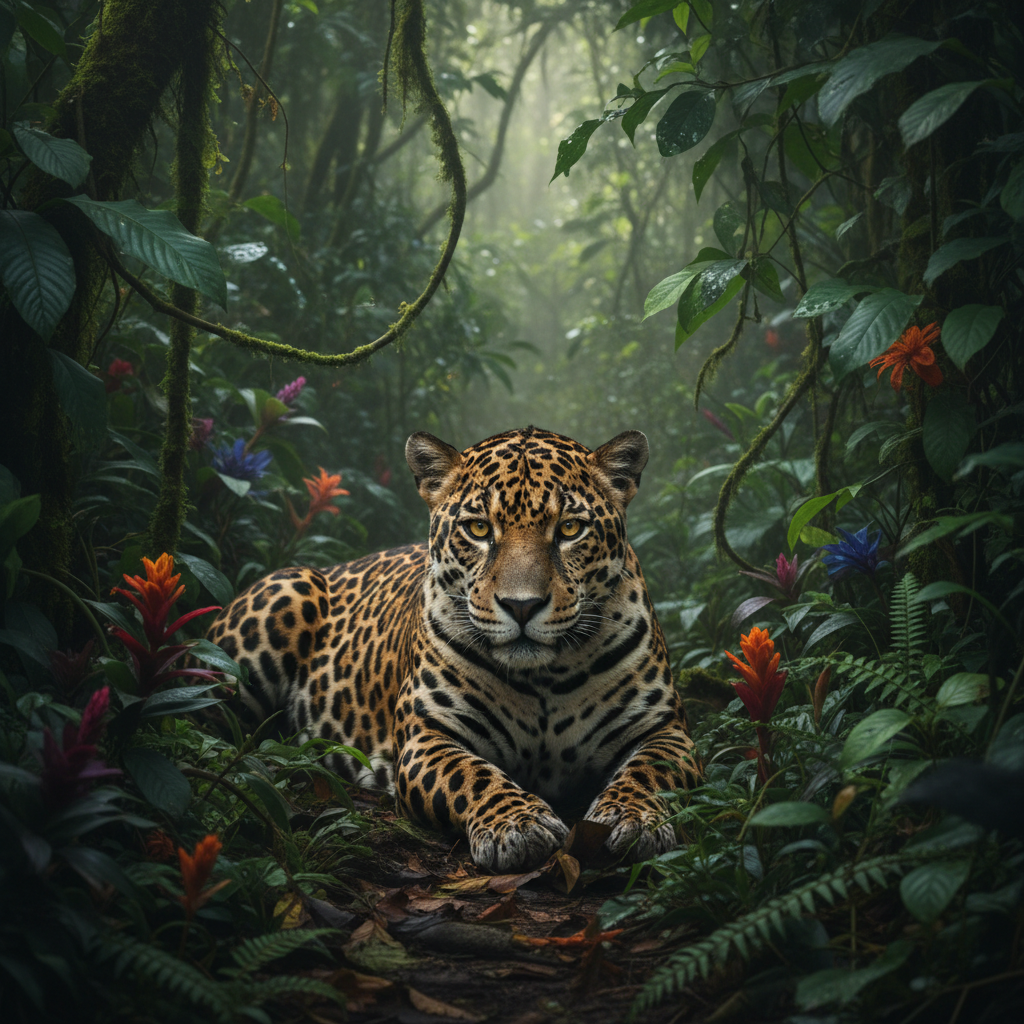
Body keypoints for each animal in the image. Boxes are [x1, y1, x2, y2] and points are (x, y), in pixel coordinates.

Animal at [206, 427, 701, 872]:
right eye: (479, 528)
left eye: (570, 529)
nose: (522, 606)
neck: (544, 677)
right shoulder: (428, 735)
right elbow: (473, 776)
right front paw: (518, 826)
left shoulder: (665, 728)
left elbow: (651, 771)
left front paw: (632, 818)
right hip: (279, 603)